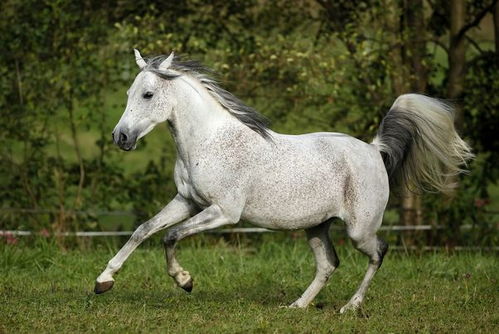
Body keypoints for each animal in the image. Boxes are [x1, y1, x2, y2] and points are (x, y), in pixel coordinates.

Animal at [95, 49, 474, 314]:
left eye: (147, 95)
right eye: (128, 93)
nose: (121, 137)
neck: (209, 141)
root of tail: (373, 149)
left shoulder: (223, 212)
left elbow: (171, 236)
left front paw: (185, 281)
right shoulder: (187, 201)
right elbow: (144, 230)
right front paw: (103, 281)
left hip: (359, 229)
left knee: (379, 252)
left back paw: (350, 307)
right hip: (316, 226)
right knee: (328, 264)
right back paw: (297, 306)